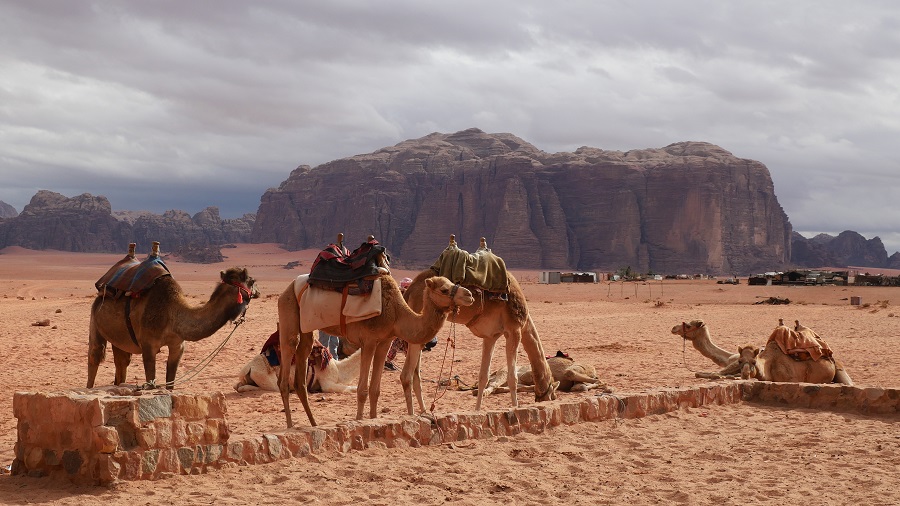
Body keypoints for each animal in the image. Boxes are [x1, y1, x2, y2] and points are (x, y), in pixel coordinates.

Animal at [87, 249, 258, 389]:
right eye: (252, 281)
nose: (258, 292)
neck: (173, 315)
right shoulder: (148, 346)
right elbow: (151, 381)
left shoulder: (178, 345)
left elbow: (170, 383)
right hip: (94, 321)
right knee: (95, 356)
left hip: (120, 339)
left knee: (121, 364)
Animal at [276, 273, 475, 427]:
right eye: (444, 290)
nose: (470, 295)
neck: (396, 313)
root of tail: (290, 286)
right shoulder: (369, 341)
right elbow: (362, 390)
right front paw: (359, 421)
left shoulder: (385, 342)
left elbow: (375, 390)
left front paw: (374, 419)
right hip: (288, 309)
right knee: (286, 363)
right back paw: (290, 426)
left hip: (306, 328)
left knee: (301, 373)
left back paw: (313, 424)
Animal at [400, 237, 558, 416]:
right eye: (552, 389)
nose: (549, 398)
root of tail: (409, 290)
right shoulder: (514, 330)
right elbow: (512, 377)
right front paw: (516, 408)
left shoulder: (491, 336)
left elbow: (484, 377)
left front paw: (477, 410)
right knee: (407, 374)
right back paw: (413, 414)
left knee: (416, 374)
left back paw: (425, 410)